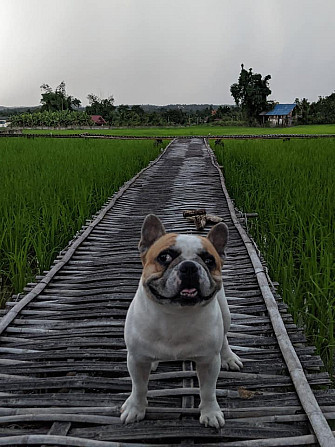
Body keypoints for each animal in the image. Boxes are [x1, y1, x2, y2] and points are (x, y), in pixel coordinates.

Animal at [122, 215, 243, 428]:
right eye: (164, 257)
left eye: (209, 260)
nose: (189, 266)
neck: (176, 313)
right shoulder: (136, 360)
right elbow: (139, 387)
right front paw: (135, 408)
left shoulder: (209, 361)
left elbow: (208, 390)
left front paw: (210, 412)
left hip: (225, 314)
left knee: (224, 337)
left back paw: (229, 357)